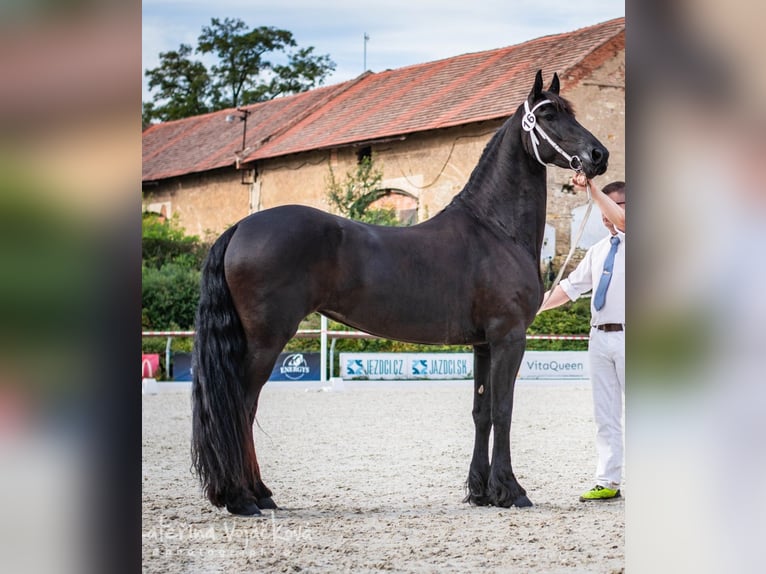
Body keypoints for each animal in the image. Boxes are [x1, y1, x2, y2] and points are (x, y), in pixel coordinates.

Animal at [194, 71, 612, 516]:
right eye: (548, 114)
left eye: (571, 111)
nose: (598, 155)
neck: (495, 229)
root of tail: (241, 227)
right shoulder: (509, 337)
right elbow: (504, 410)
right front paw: (511, 491)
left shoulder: (483, 344)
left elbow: (481, 412)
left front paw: (481, 492)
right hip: (265, 341)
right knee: (241, 406)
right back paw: (244, 497)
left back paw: (257, 494)